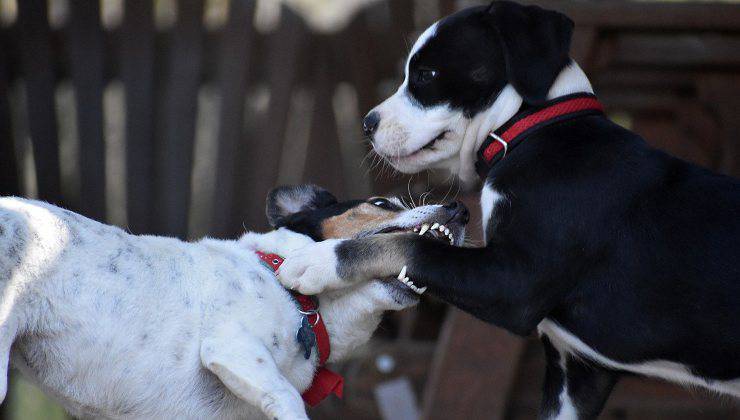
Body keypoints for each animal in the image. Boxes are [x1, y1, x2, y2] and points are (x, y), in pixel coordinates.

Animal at [276, 1, 740, 418]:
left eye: (426, 75)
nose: (367, 123)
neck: (534, 132)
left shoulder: (514, 282)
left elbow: (413, 246)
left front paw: (317, 260)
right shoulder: (578, 374)